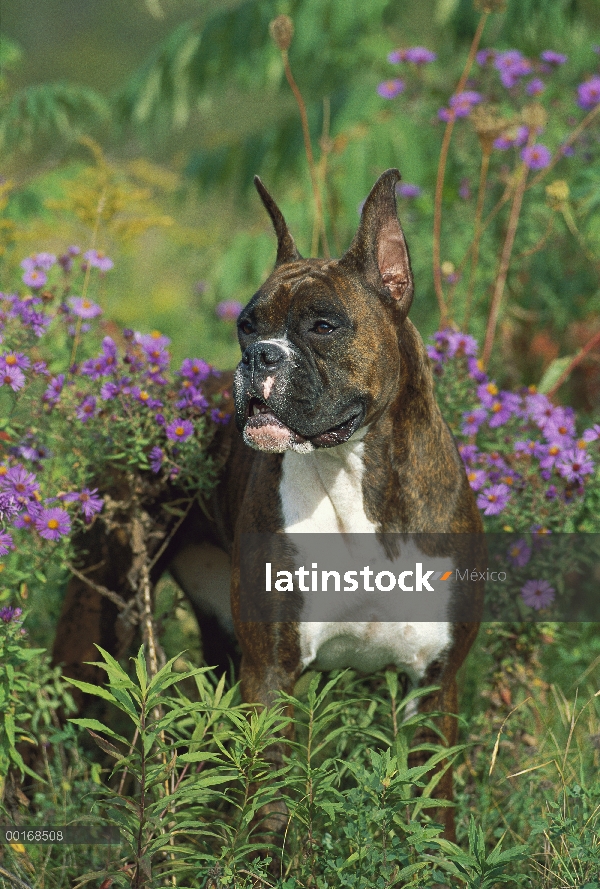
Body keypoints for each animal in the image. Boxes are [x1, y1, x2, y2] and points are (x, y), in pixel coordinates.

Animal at [51, 168, 482, 840]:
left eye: (323, 326)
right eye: (247, 327)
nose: (259, 356)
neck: (353, 474)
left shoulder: (434, 685)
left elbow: (434, 814)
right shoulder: (273, 675)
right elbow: (270, 807)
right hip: (98, 616)